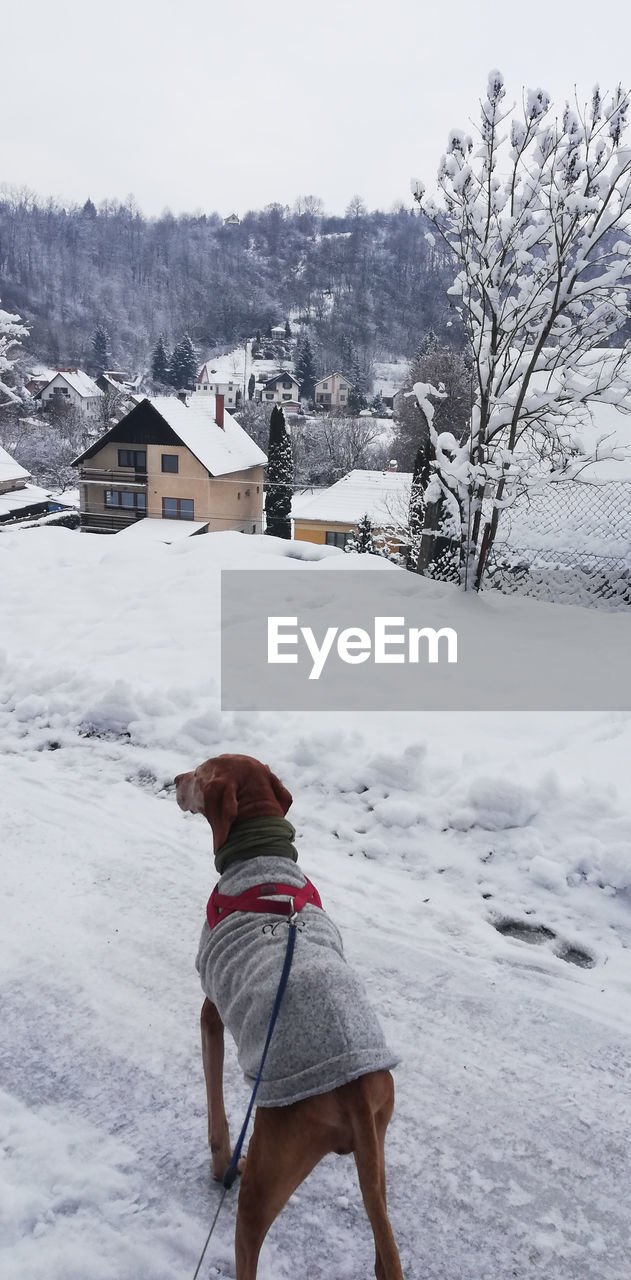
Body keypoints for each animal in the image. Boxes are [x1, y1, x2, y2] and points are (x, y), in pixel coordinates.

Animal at [175, 747, 404, 1280]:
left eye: (199, 773)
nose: (174, 778)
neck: (260, 855)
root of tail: (352, 1087)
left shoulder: (211, 1012)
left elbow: (216, 1107)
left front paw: (220, 1164)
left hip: (267, 1171)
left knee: (248, 1246)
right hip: (378, 1151)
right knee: (385, 1255)